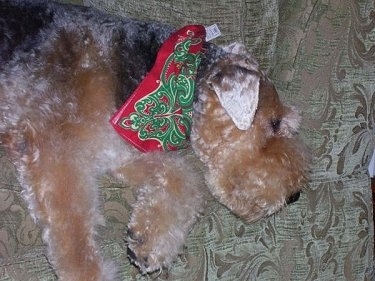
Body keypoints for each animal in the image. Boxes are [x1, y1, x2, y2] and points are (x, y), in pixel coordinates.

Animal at [0, 1, 312, 278]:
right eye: (274, 123)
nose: (294, 195)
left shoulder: (117, 151)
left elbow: (185, 180)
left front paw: (147, 245)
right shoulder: (55, 152)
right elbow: (75, 239)